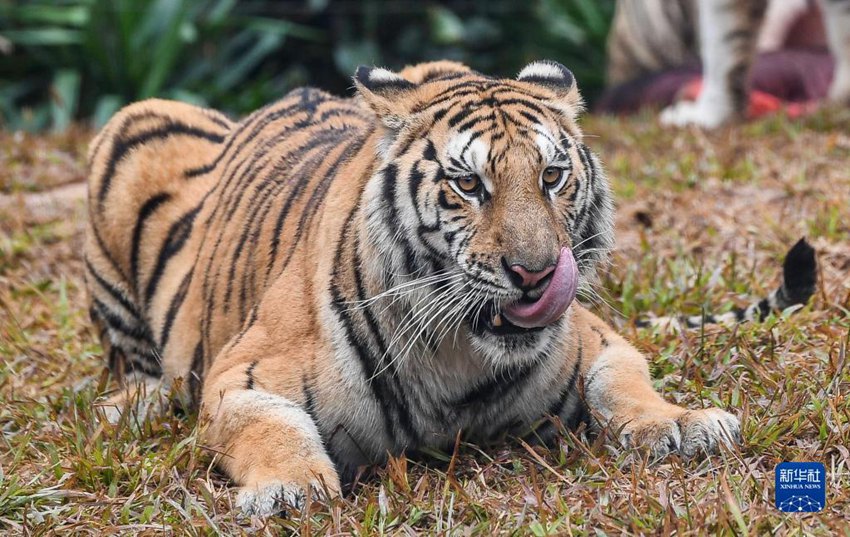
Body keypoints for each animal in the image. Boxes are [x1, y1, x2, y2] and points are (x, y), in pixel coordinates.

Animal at [86, 60, 756, 516]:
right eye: (469, 184)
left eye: (552, 176)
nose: (536, 273)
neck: (461, 359)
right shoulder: (243, 371)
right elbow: (269, 426)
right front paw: (288, 488)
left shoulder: (597, 337)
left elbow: (623, 382)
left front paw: (681, 424)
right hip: (130, 128)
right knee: (133, 363)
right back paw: (129, 407)